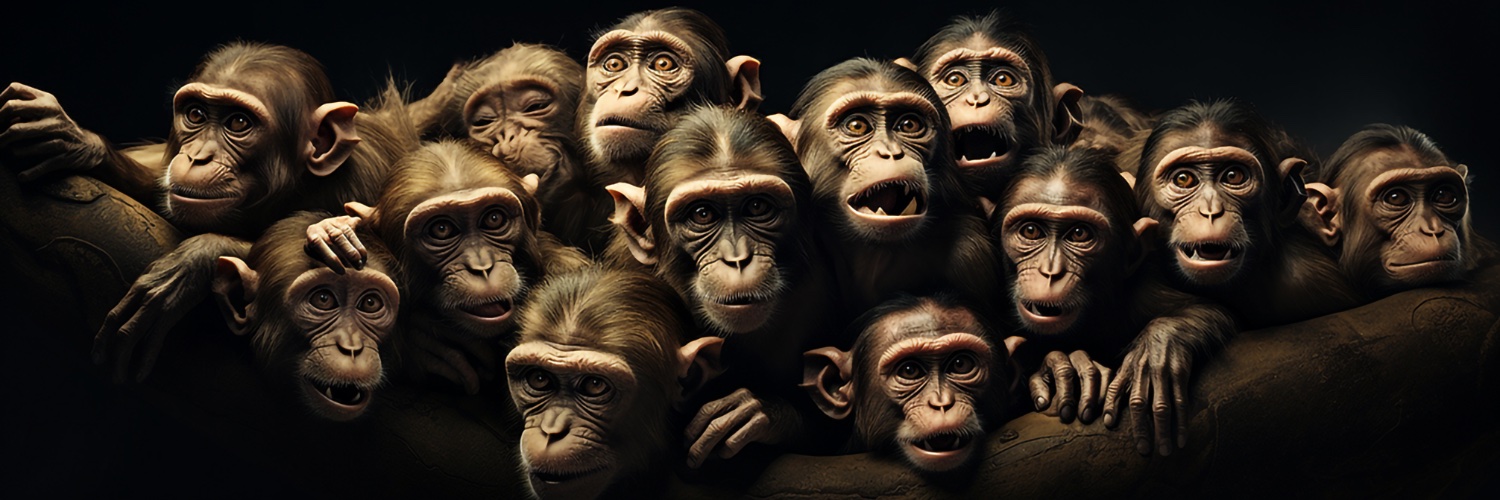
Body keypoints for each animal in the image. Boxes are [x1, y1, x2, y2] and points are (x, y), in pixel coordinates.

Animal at [1, 42, 419, 382]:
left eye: (238, 122)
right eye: (196, 115)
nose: (197, 156)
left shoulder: (365, 176)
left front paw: (193, 262)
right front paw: (76, 140)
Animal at [985, 145, 1235, 456]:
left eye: (1079, 233)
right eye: (1031, 231)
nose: (1050, 271)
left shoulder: (1139, 295)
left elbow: (1206, 308)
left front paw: (1158, 349)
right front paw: (1064, 367)